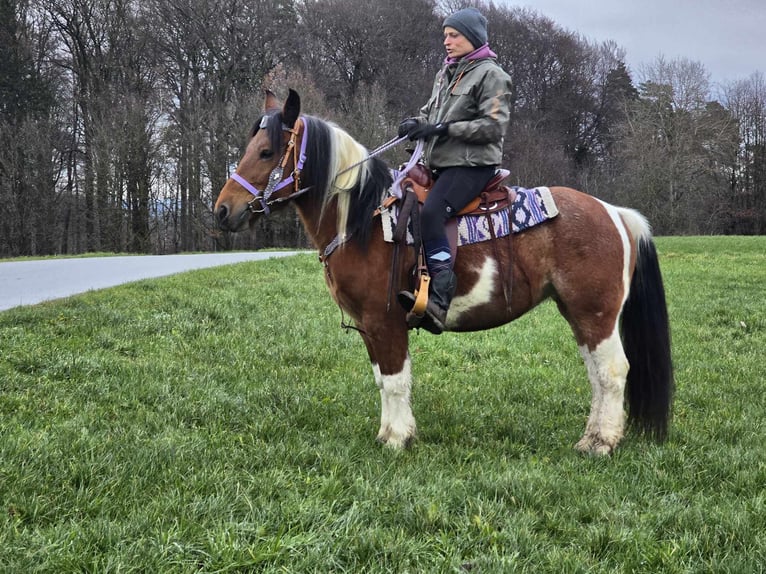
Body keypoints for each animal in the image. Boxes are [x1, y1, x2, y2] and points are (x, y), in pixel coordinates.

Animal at [214, 90, 672, 456]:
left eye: (267, 152)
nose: (222, 210)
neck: (362, 220)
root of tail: (615, 213)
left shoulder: (384, 321)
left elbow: (396, 381)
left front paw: (397, 439)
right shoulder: (368, 327)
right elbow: (382, 380)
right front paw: (389, 433)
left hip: (596, 312)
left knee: (612, 372)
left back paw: (601, 443)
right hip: (578, 313)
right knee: (596, 373)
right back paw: (592, 436)